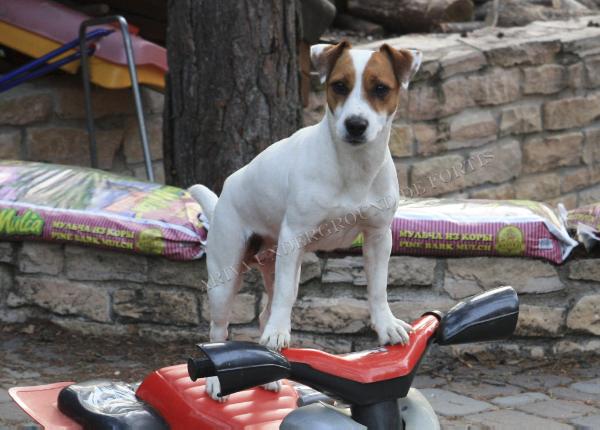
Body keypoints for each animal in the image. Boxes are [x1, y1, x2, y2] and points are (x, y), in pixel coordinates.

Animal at [190, 42, 420, 402]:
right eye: (339, 85)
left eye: (381, 88)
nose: (356, 124)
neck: (353, 169)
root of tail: (224, 194)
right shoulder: (294, 236)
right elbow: (285, 298)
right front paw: (278, 334)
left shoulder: (378, 236)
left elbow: (378, 288)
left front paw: (386, 326)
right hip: (226, 279)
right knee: (220, 330)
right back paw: (216, 381)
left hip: (278, 264)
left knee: (266, 313)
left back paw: (269, 376)